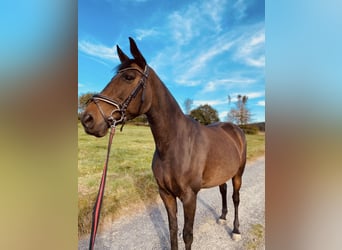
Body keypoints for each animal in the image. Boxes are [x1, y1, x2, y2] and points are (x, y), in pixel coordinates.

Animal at [81, 37, 247, 250]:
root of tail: (234, 129)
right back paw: (223, 217)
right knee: (223, 190)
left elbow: (187, 234)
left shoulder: (189, 197)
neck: (174, 145)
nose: (88, 119)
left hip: (238, 173)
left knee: (236, 198)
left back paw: (235, 230)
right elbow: (172, 230)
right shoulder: (166, 194)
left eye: (128, 77)